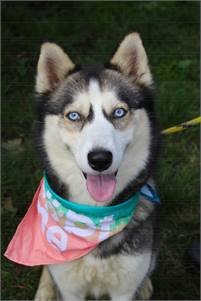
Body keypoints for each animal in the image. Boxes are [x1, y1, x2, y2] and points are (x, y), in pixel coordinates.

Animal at [34, 32, 160, 300]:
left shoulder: (124, 287)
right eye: (74, 116)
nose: (100, 159)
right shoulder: (70, 288)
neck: (92, 216)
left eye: (119, 112)